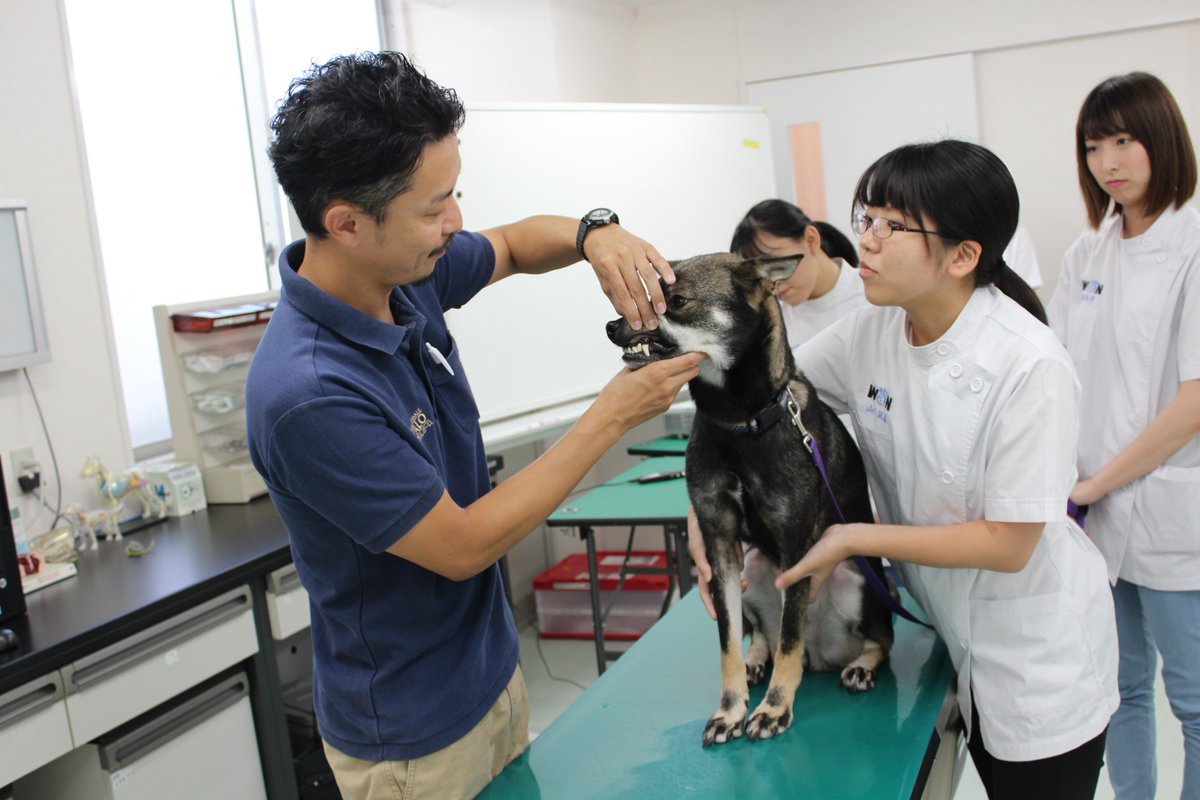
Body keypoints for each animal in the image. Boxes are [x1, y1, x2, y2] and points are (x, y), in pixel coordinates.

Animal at [604, 253, 897, 748]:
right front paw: (730, 709)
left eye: (676, 301)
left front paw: (775, 709)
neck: (739, 420)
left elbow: (790, 639)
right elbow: (729, 642)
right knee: (764, 633)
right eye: (647, 293)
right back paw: (758, 659)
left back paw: (859, 666)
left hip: (856, 577)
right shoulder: (720, 547)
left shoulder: (798, 548)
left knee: (879, 640)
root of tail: (823, 653)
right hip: (754, 571)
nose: (611, 325)